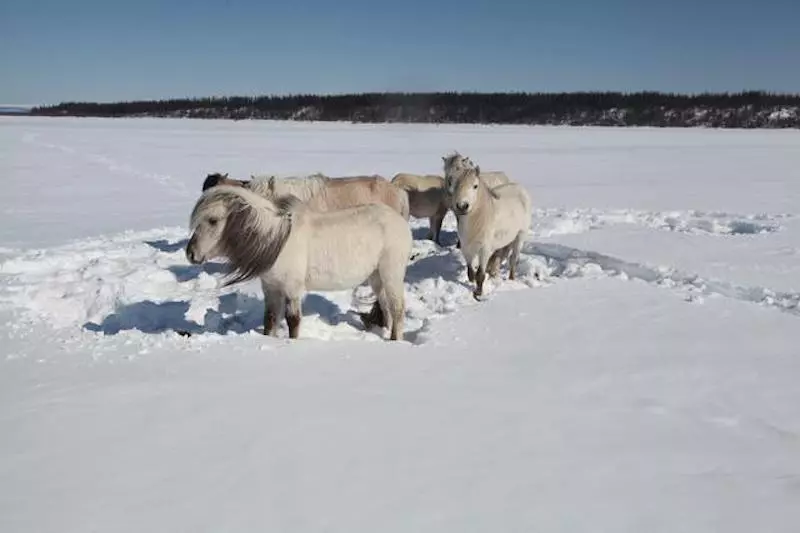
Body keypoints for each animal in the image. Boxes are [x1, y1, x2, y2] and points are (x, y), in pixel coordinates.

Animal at [185, 185, 412, 340]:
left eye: (213, 220)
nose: (191, 254)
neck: (277, 240)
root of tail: (399, 221)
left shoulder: (292, 289)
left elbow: (293, 321)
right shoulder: (271, 289)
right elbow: (270, 320)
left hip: (391, 274)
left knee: (398, 308)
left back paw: (395, 339)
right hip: (376, 277)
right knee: (386, 307)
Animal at [447, 162, 532, 300]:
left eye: (475, 186)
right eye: (453, 184)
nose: (462, 206)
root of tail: (520, 188)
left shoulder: (484, 250)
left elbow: (480, 274)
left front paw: (478, 293)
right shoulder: (466, 248)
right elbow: (470, 271)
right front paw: (472, 282)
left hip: (520, 236)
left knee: (513, 259)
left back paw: (511, 279)